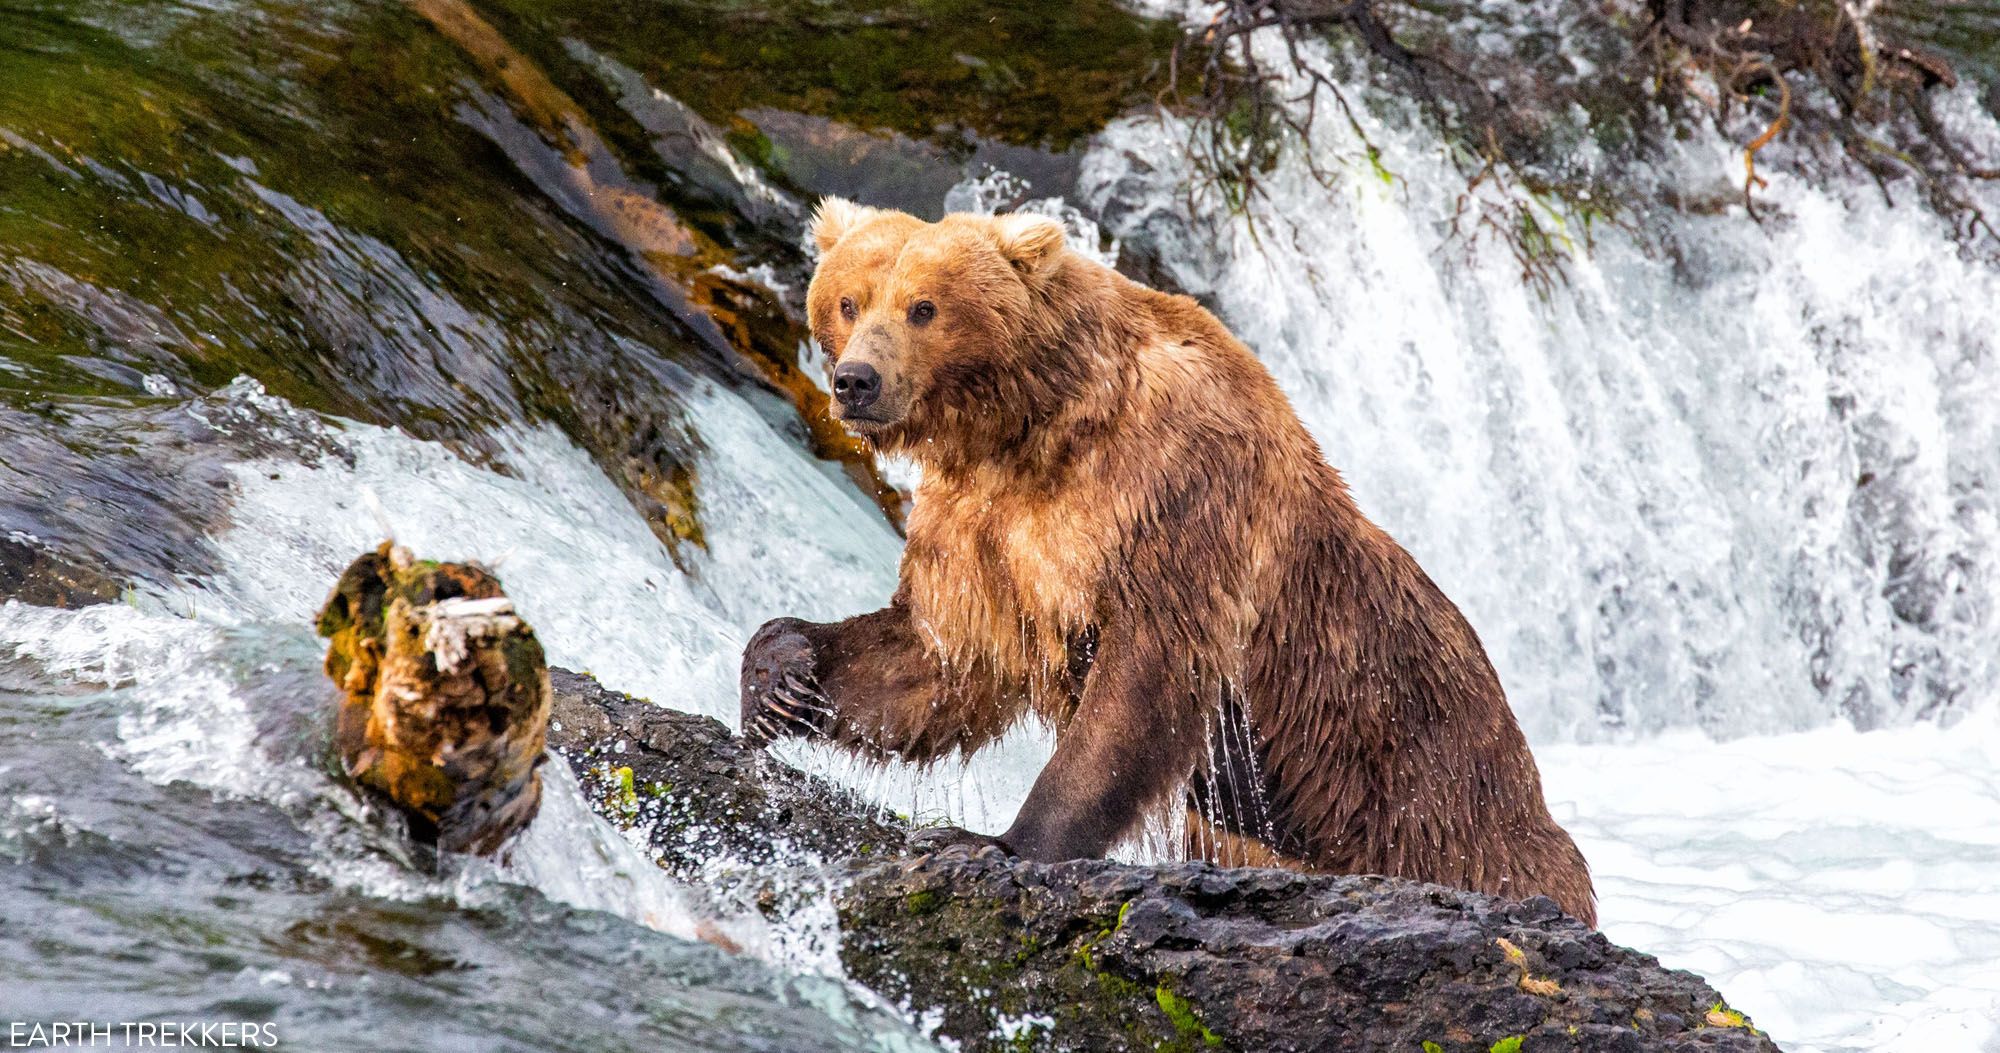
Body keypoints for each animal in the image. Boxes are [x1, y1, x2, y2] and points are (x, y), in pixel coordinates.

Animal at [744, 198, 1600, 924]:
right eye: (850, 300)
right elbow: (937, 655)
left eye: (924, 306)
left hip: (1434, 799)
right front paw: (781, 674)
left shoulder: (1170, 494)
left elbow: (1139, 687)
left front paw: (997, 840)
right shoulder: (983, 526)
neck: (1031, 425)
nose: (856, 380)